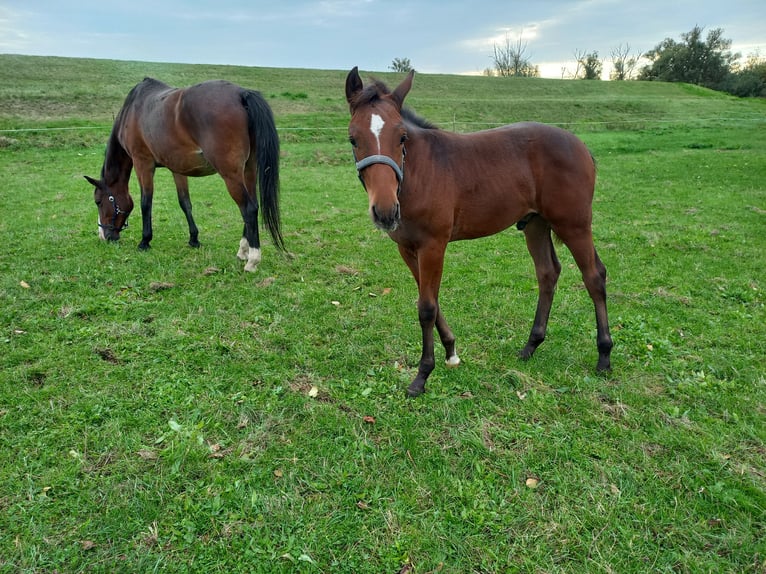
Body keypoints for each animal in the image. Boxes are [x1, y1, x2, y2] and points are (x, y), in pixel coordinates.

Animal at [86, 77, 284, 274]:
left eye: (99, 201)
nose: (104, 236)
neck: (133, 110)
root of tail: (241, 94)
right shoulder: (177, 169)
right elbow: (185, 203)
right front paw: (194, 239)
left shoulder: (142, 163)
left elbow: (146, 202)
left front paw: (145, 241)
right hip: (248, 170)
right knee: (253, 205)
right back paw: (243, 250)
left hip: (231, 174)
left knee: (248, 209)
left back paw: (252, 259)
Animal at [344, 67, 616, 398]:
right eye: (353, 139)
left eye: (402, 137)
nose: (385, 211)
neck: (418, 172)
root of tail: (581, 146)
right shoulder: (407, 248)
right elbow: (429, 298)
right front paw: (451, 352)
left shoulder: (434, 246)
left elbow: (427, 307)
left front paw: (422, 375)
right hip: (536, 224)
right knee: (547, 273)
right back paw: (531, 345)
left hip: (574, 224)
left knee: (594, 276)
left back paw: (604, 355)